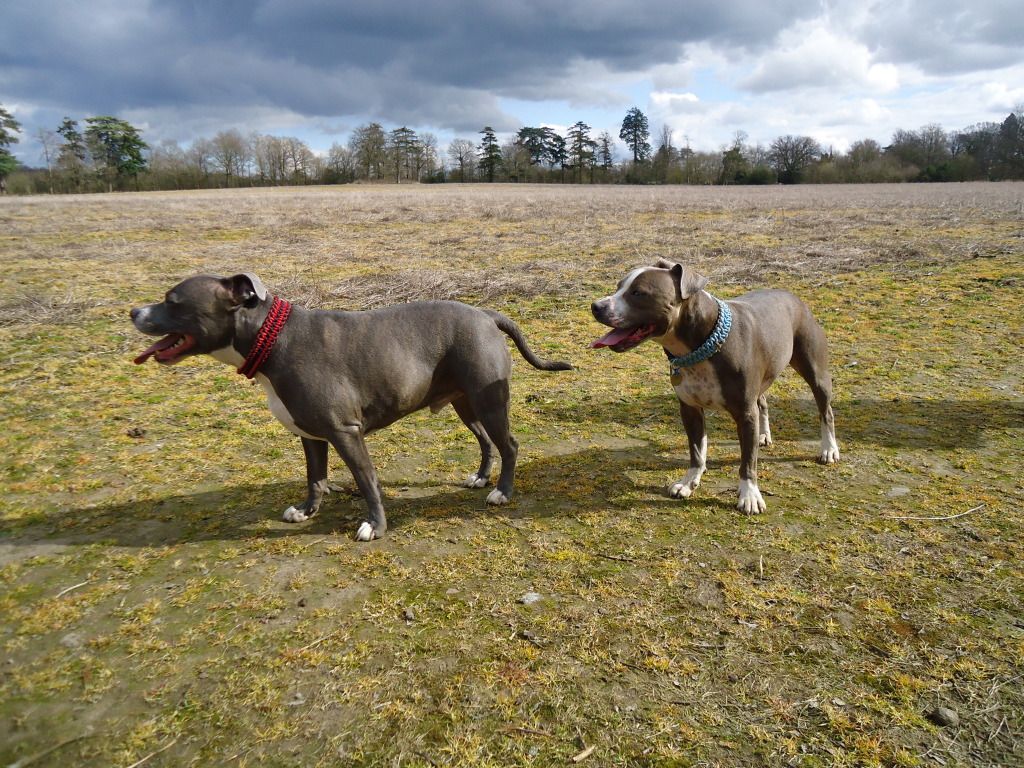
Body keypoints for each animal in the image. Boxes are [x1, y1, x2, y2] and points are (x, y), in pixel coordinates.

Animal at [593, 260, 839, 518]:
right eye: (619, 286)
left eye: (638, 293)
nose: (596, 306)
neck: (699, 346)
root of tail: (791, 295)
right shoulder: (690, 409)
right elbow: (696, 450)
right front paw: (689, 481)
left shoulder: (745, 414)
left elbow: (748, 460)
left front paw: (749, 495)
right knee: (763, 402)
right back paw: (763, 435)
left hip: (816, 374)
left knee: (826, 412)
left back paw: (829, 449)